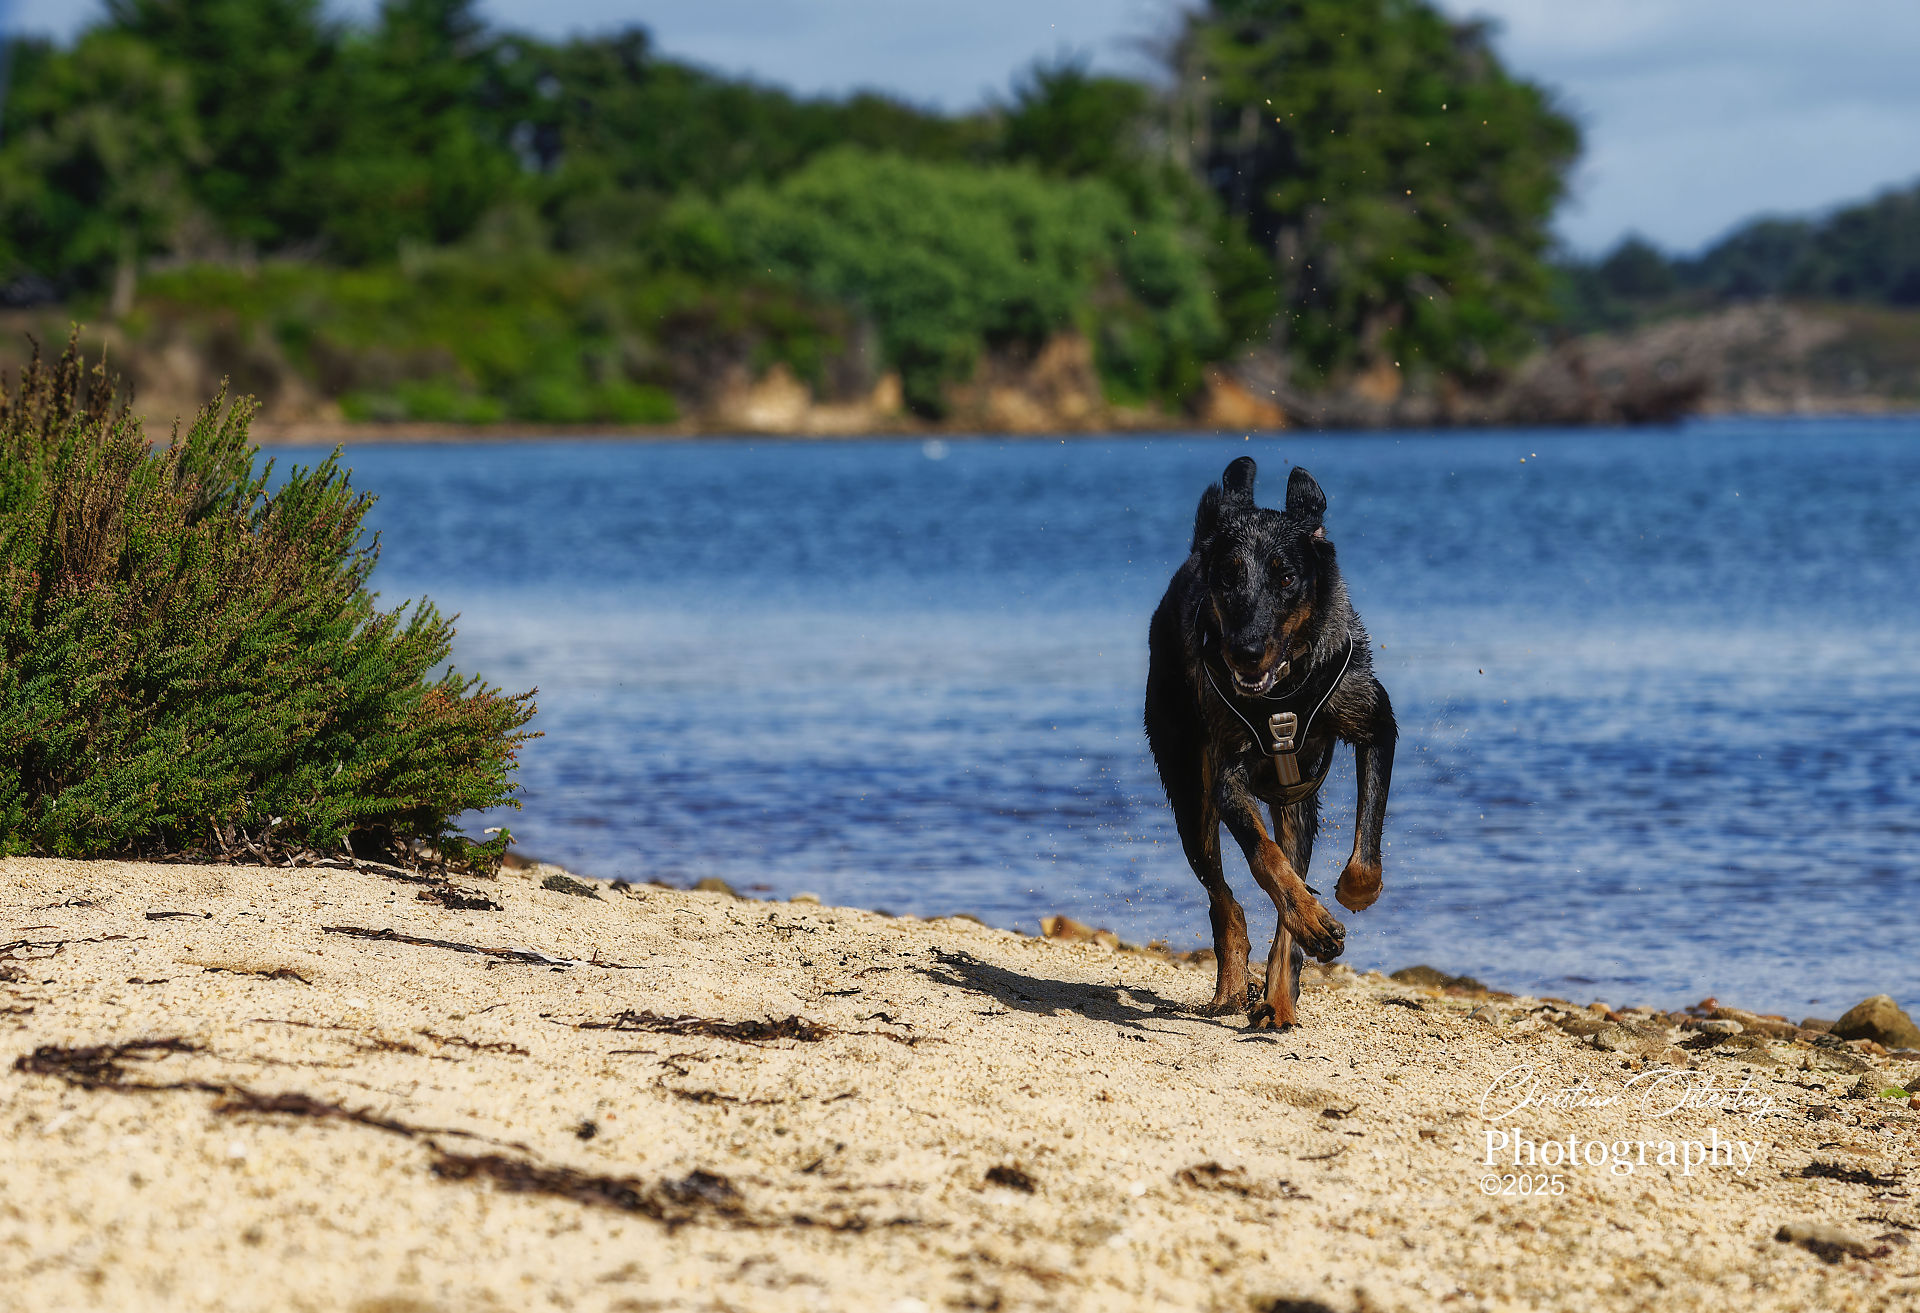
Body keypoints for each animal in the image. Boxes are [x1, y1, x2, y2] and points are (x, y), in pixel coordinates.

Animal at [1145, 458, 1396, 1029]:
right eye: (1229, 576)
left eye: (1286, 577)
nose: (1245, 652)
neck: (1283, 691)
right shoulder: (1227, 778)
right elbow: (1266, 860)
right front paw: (1312, 917)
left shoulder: (1374, 721)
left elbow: (1365, 839)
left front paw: (1352, 893)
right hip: (1189, 790)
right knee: (1226, 899)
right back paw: (1234, 987)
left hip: (1296, 802)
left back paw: (1278, 998)